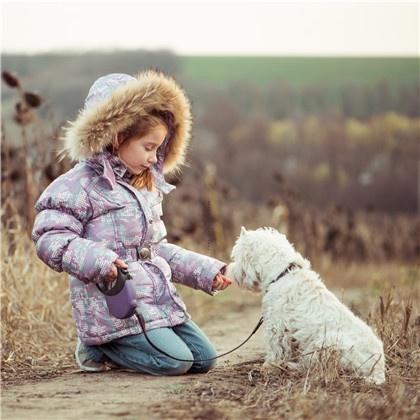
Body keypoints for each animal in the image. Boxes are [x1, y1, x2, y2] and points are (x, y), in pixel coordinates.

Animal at [225, 226, 386, 384]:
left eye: (236, 257)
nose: (227, 270)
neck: (282, 274)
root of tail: (379, 369)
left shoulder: (276, 325)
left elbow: (275, 349)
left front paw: (268, 367)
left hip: (327, 343)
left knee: (315, 366)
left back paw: (291, 367)